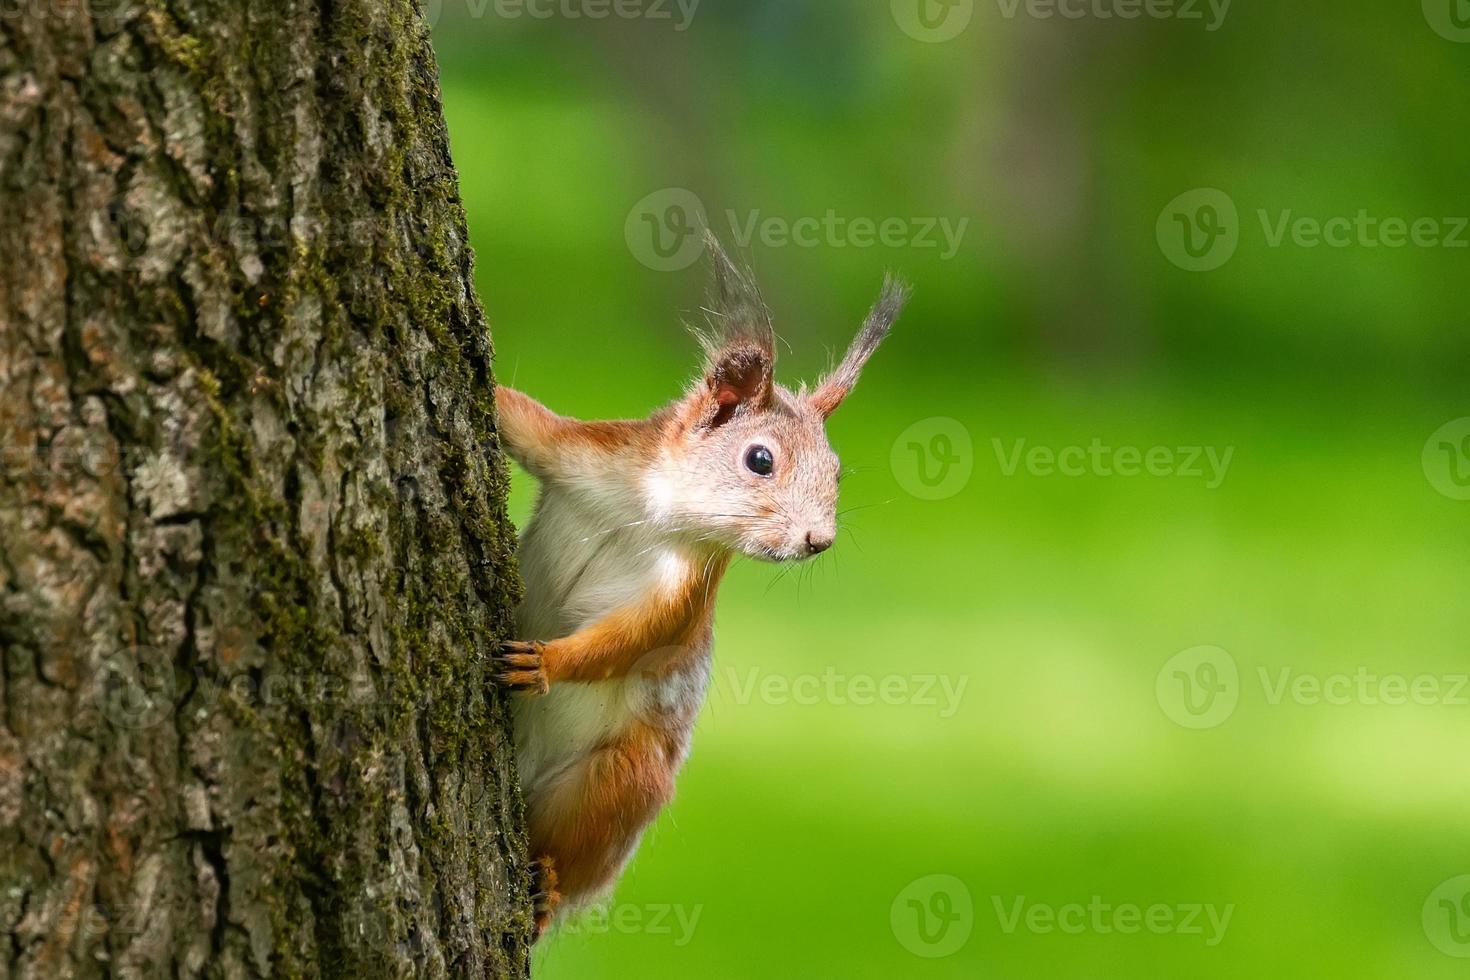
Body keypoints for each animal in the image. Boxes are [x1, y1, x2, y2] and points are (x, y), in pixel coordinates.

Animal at [493, 232, 905, 940]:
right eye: (760, 459)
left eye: (837, 471)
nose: (818, 540)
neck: (650, 510)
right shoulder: (583, 453)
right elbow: (521, 419)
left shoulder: (686, 588)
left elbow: (638, 638)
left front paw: (545, 662)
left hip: (621, 782)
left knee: (581, 844)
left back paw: (547, 886)